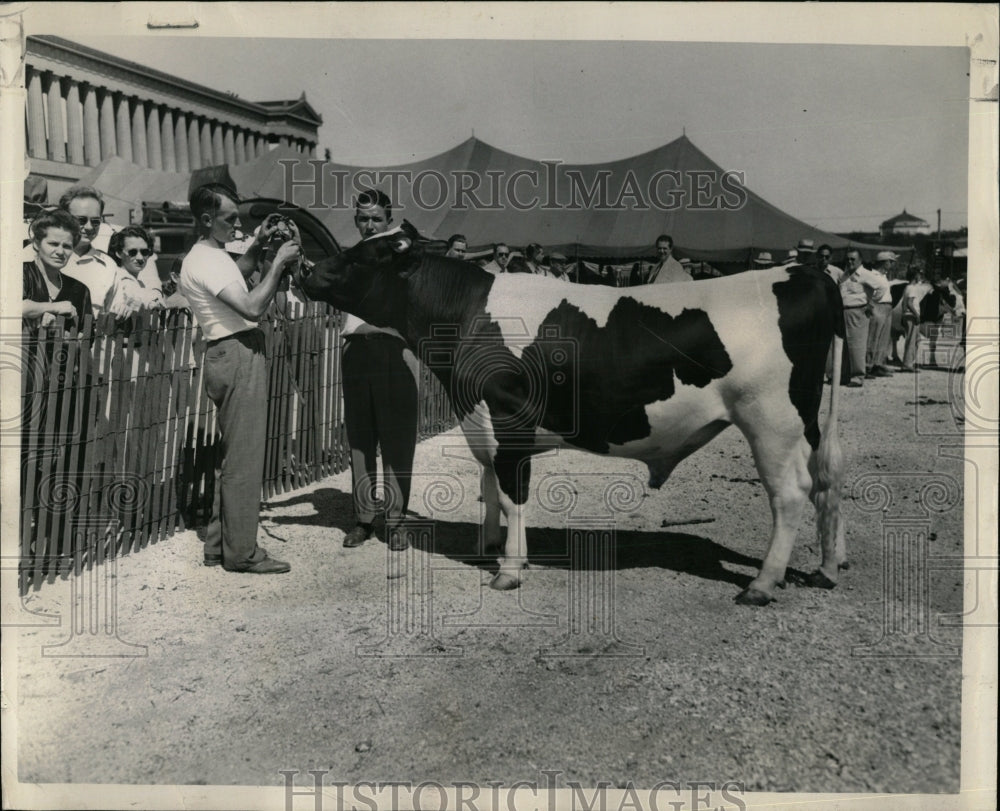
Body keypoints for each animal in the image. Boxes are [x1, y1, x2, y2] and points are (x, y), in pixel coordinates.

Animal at [296, 225, 844, 604]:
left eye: (361, 255)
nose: (303, 268)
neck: (469, 314)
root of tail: (805, 273)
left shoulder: (508, 420)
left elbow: (511, 494)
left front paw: (509, 569)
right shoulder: (482, 422)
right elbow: (487, 484)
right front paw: (488, 545)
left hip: (771, 419)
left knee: (790, 493)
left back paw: (763, 583)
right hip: (808, 423)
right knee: (827, 481)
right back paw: (828, 566)